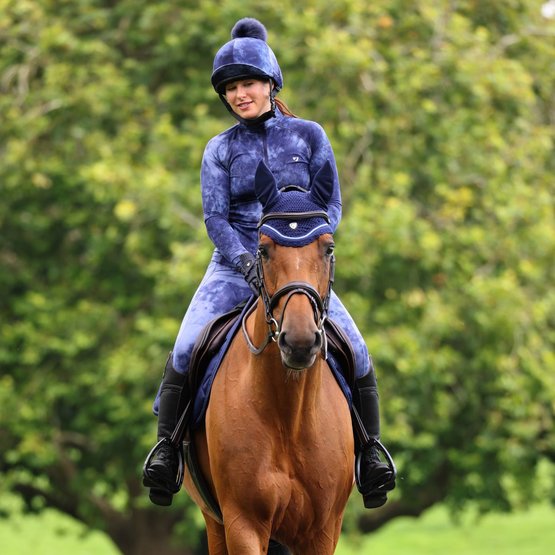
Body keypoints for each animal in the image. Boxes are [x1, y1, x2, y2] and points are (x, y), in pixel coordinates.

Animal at [185, 163, 354, 552]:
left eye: (328, 248)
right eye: (262, 250)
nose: (300, 340)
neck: (288, 415)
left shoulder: (323, 530)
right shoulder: (243, 524)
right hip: (214, 522)